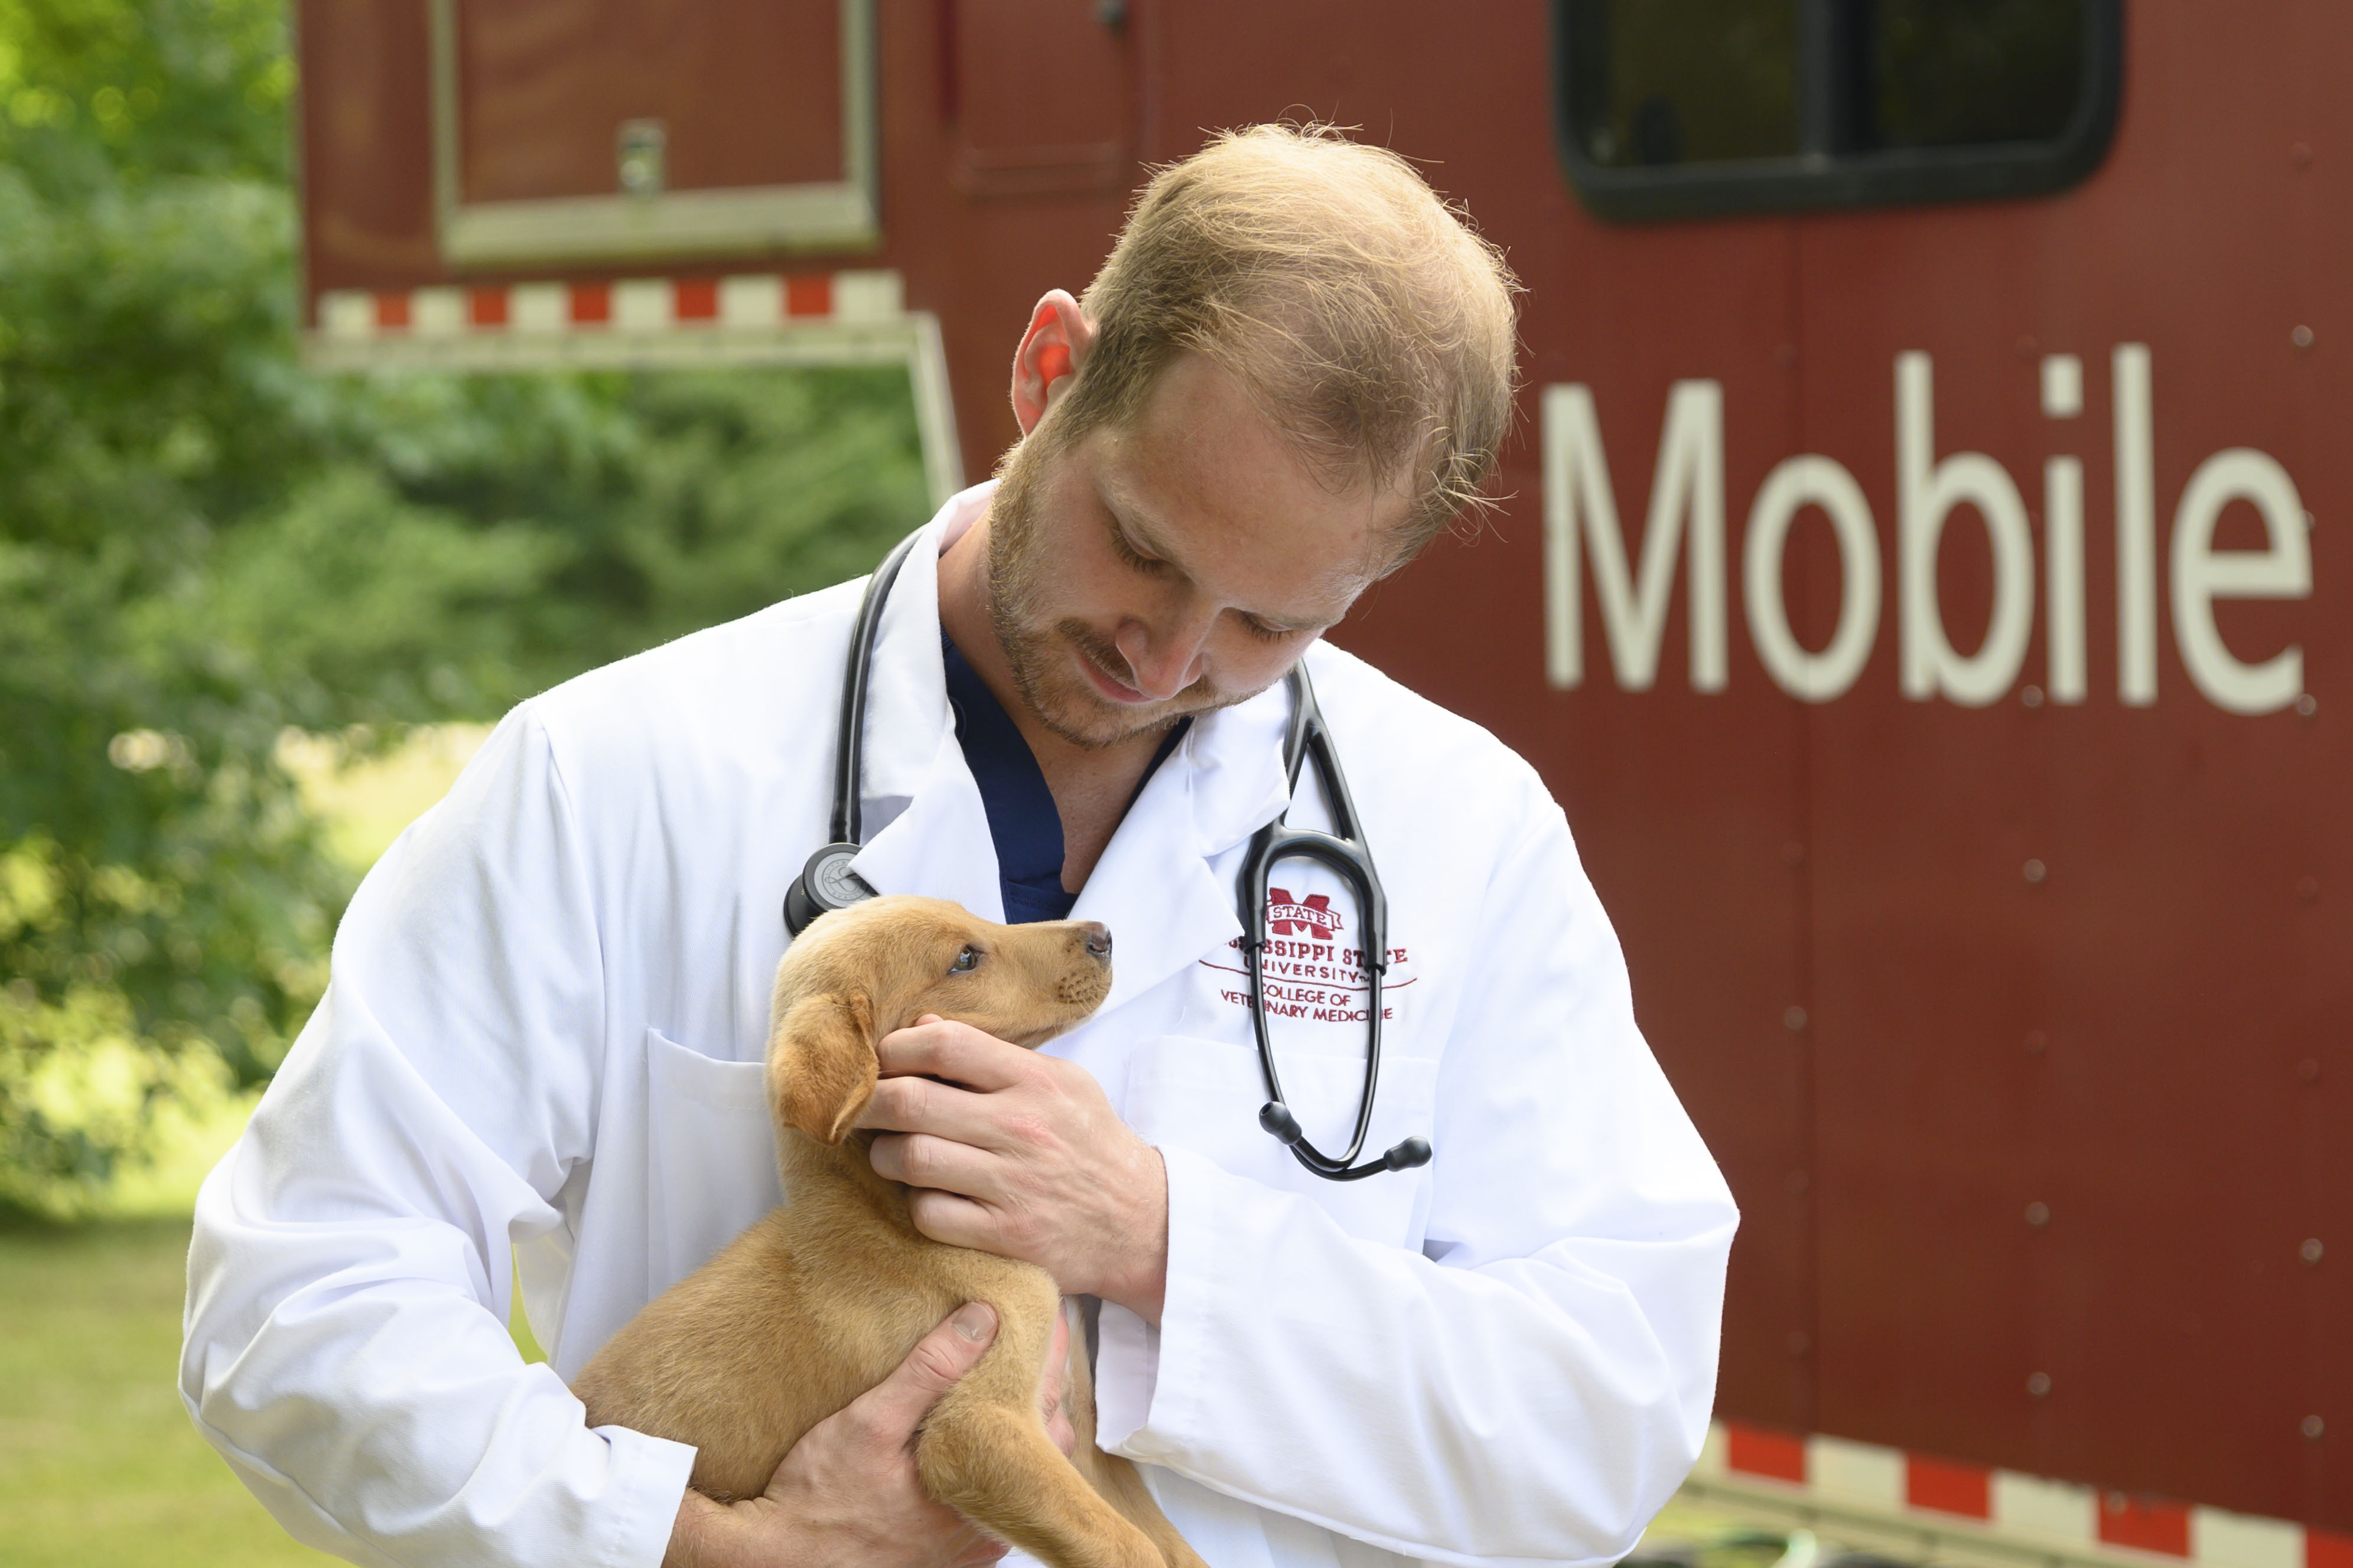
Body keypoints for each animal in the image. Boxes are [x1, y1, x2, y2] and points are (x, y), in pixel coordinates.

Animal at [564, 902, 1195, 1568]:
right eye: (964, 958)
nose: (1104, 935)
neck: (892, 1219)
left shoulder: (1075, 1423)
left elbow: (1165, 1544)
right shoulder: (977, 1426)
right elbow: (1130, 1550)